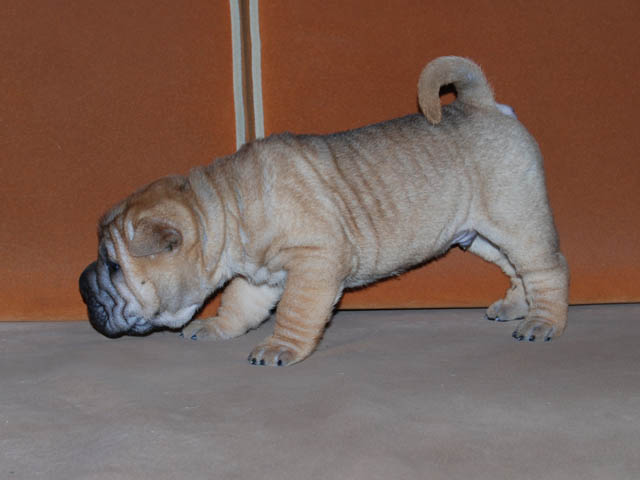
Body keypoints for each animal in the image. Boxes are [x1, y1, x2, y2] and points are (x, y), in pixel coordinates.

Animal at [79, 56, 569, 366]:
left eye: (113, 266)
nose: (83, 285)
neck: (227, 206)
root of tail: (482, 102)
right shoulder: (258, 278)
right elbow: (239, 305)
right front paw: (217, 326)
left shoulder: (315, 261)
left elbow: (296, 312)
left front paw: (279, 349)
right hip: (482, 233)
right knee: (517, 270)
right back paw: (515, 306)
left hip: (517, 218)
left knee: (547, 268)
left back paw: (543, 322)